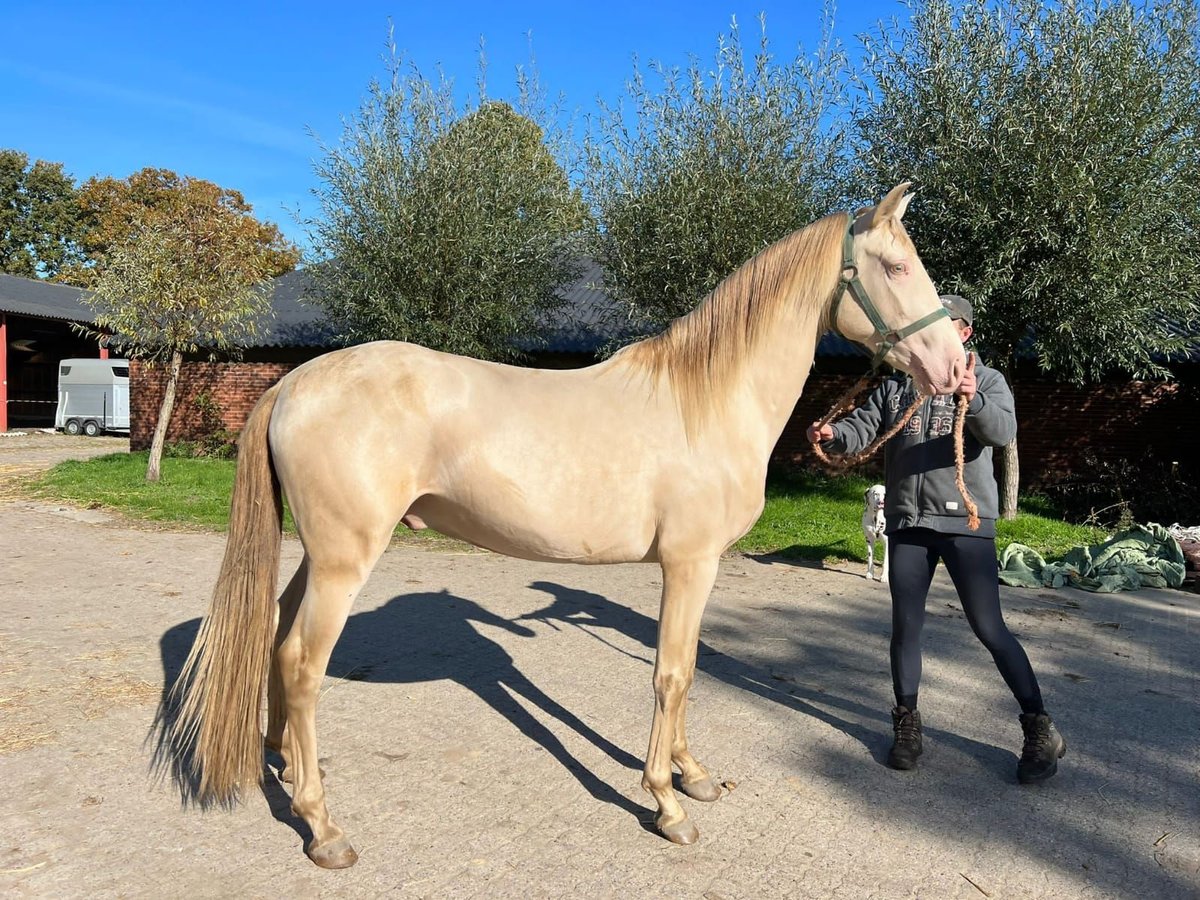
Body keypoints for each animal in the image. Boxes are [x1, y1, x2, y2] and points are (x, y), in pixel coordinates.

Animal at [164, 181, 964, 868]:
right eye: (896, 265)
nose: (954, 364)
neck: (705, 400)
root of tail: (295, 381)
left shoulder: (697, 570)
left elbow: (688, 669)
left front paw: (692, 773)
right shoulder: (688, 564)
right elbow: (671, 674)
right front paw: (667, 804)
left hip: (317, 554)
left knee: (276, 635)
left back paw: (285, 765)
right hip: (343, 560)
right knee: (303, 662)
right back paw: (323, 827)